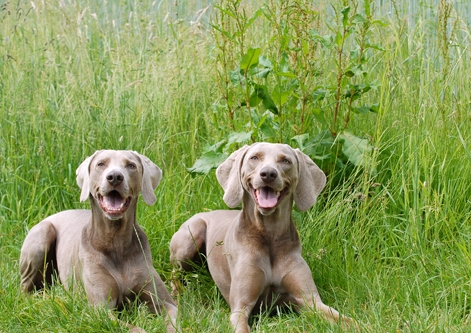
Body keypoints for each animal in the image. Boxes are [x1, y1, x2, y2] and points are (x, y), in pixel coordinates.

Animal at [19, 150, 179, 332]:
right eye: (101, 164)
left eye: (131, 165)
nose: (115, 177)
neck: (115, 240)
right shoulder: (100, 310)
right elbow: (134, 328)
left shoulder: (166, 303)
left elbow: (172, 320)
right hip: (42, 235)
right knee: (25, 291)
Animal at [171, 142, 352, 332]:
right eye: (254, 157)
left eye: (286, 160)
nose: (268, 174)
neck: (270, 235)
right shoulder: (240, 307)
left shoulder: (310, 301)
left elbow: (348, 320)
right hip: (191, 236)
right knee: (175, 273)